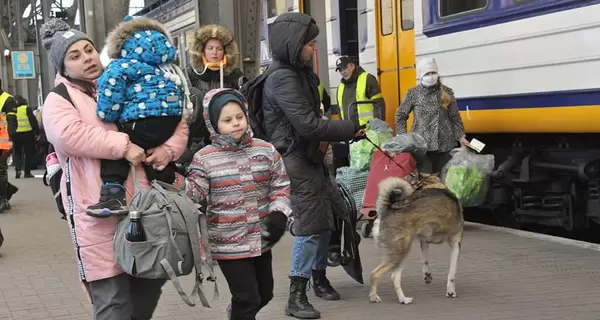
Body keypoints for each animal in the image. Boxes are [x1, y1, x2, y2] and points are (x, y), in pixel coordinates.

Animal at [368, 174, 462, 304]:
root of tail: (387, 209)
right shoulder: (456, 244)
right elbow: (452, 272)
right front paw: (451, 291)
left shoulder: (424, 241)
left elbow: (424, 260)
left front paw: (427, 275)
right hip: (400, 253)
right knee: (375, 274)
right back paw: (374, 297)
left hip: (400, 255)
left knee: (394, 277)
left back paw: (403, 299)